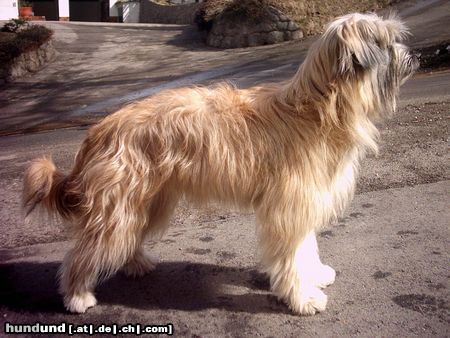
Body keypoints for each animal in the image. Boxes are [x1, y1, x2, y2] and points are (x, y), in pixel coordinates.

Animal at [23, 12, 418, 314]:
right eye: (385, 43)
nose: (414, 55)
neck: (318, 111)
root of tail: (99, 130)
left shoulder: (303, 201)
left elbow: (306, 246)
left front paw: (314, 275)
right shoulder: (289, 207)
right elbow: (291, 256)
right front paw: (303, 298)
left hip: (147, 202)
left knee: (124, 239)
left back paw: (135, 264)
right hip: (118, 204)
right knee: (82, 255)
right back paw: (77, 296)